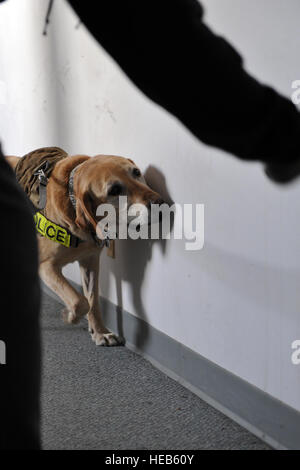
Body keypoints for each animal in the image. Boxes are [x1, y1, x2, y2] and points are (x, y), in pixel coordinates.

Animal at [6, 153, 162, 346]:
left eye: (136, 172)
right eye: (114, 190)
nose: (160, 203)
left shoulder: (91, 262)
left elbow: (92, 300)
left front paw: (100, 332)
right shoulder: (46, 266)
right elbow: (80, 301)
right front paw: (71, 316)